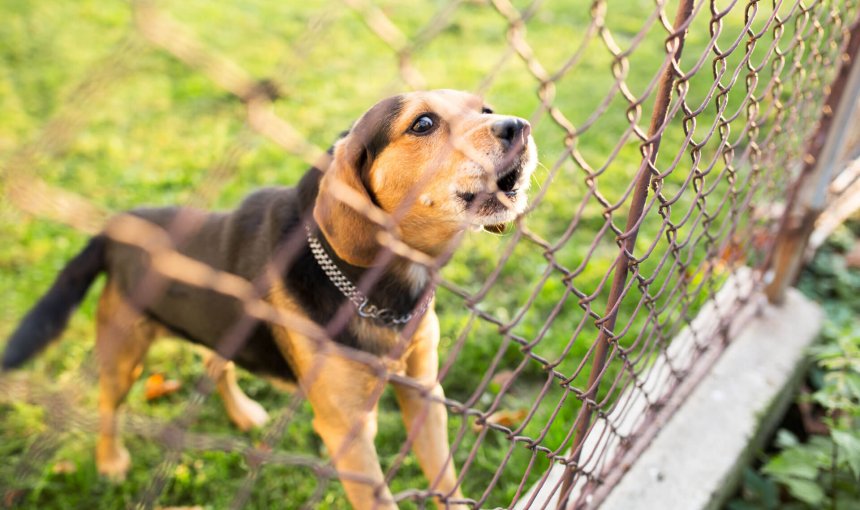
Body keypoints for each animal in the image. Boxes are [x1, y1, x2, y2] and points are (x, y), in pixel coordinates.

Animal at [3, 89, 536, 508]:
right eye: (422, 123)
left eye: (485, 109)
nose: (521, 126)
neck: (381, 288)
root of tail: (115, 228)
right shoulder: (347, 431)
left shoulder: (424, 394)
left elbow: (447, 481)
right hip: (124, 352)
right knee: (107, 404)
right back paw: (111, 461)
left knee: (215, 364)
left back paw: (242, 414)